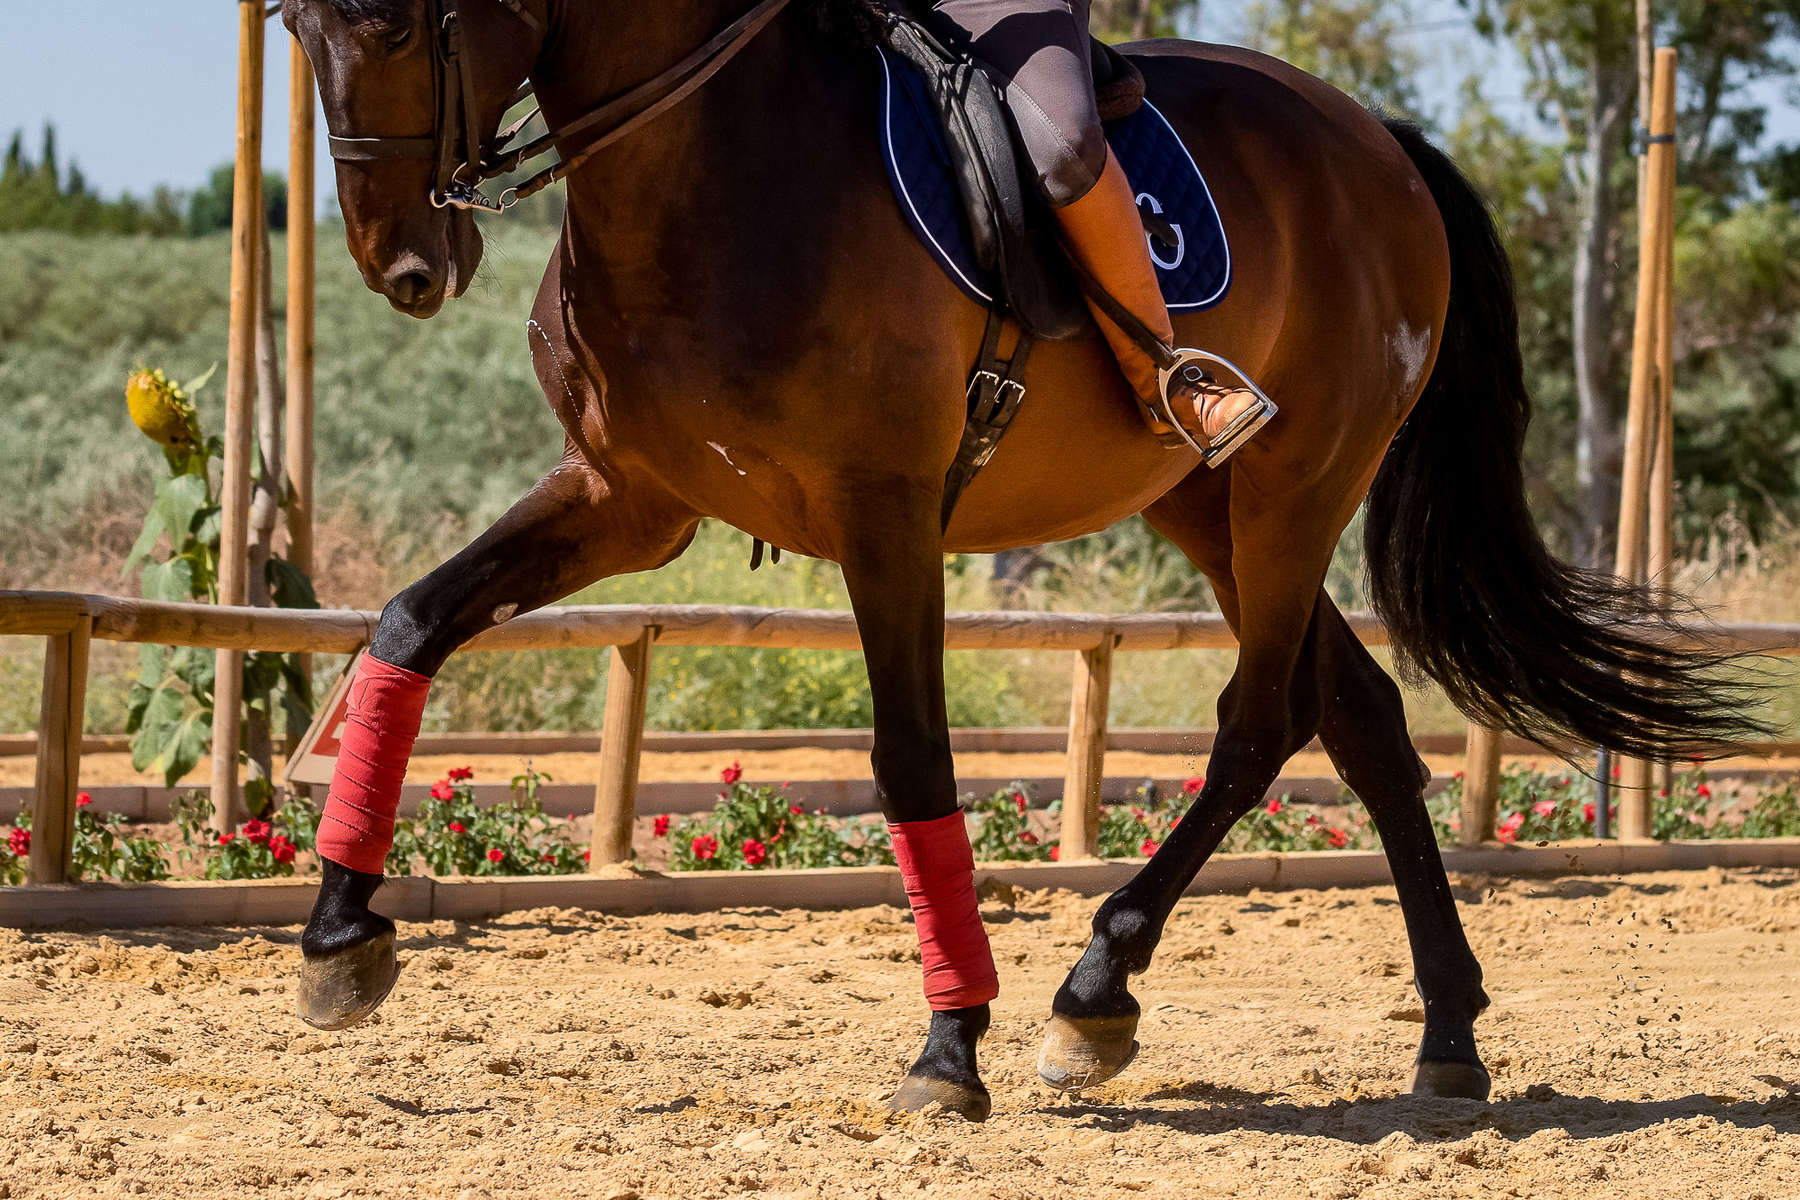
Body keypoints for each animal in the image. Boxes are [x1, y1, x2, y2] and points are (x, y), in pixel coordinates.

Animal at [288, 0, 1764, 1129]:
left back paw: (1093, 996)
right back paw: (1447, 1035)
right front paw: (342, 935)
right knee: (1360, 715)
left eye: (405, 21)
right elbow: (410, 622)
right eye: (299, 25)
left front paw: (953, 1048)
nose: (403, 263)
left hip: (1298, 484)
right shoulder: (628, 500)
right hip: (1206, 506)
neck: (711, 167)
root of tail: (1375, 141)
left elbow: (912, 763)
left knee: (1264, 718)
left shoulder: (884, 516)